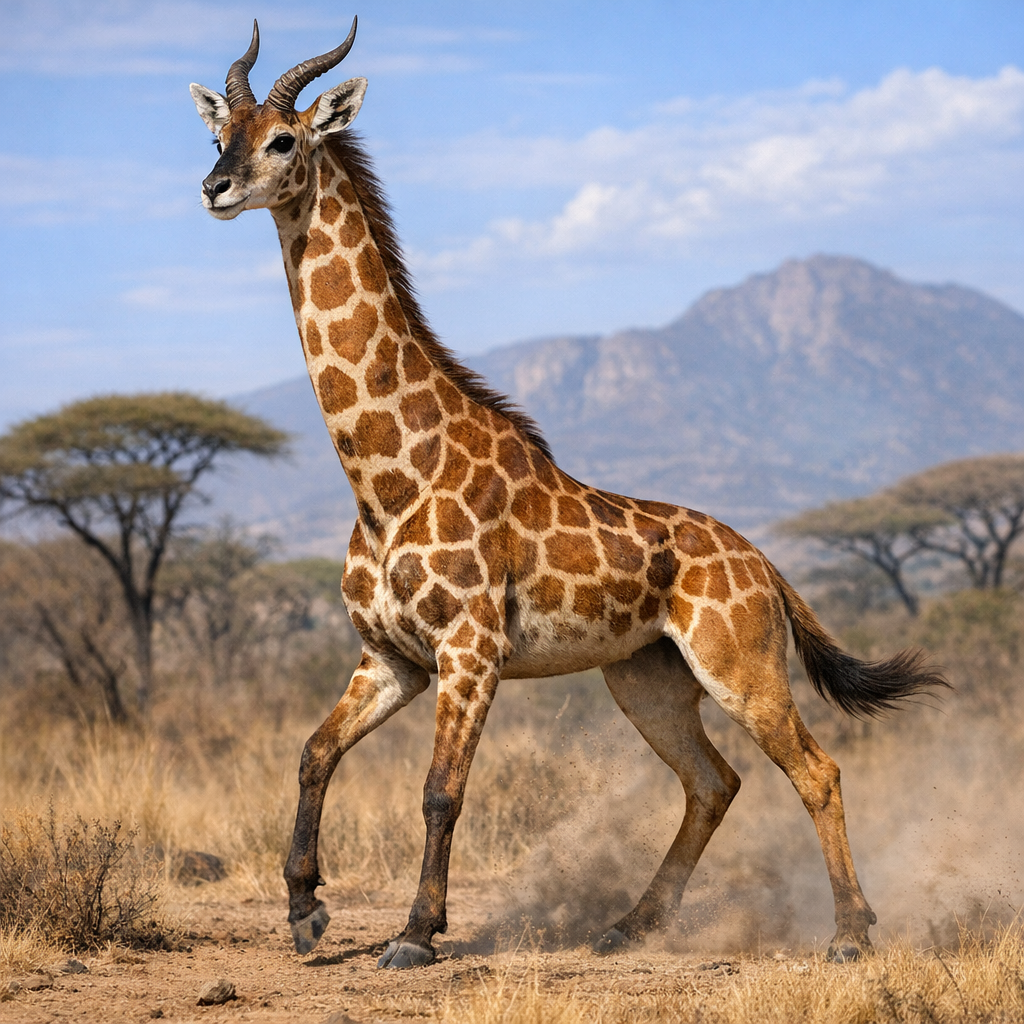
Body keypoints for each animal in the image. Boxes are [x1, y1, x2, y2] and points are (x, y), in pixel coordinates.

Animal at [191, 20, 946, 970]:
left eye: (284, 139)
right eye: (220, 134)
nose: (214, 187)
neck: (385, 481)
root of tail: (767, 565)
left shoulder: (470, 650)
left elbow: (439, 792)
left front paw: (416, 933)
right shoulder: (390, 657)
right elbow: (312, 752)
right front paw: (304, 911)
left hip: (739, 665)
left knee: (815, 769)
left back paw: (849, 932)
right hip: (647, 677)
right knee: (714, 780)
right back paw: (628, 925)